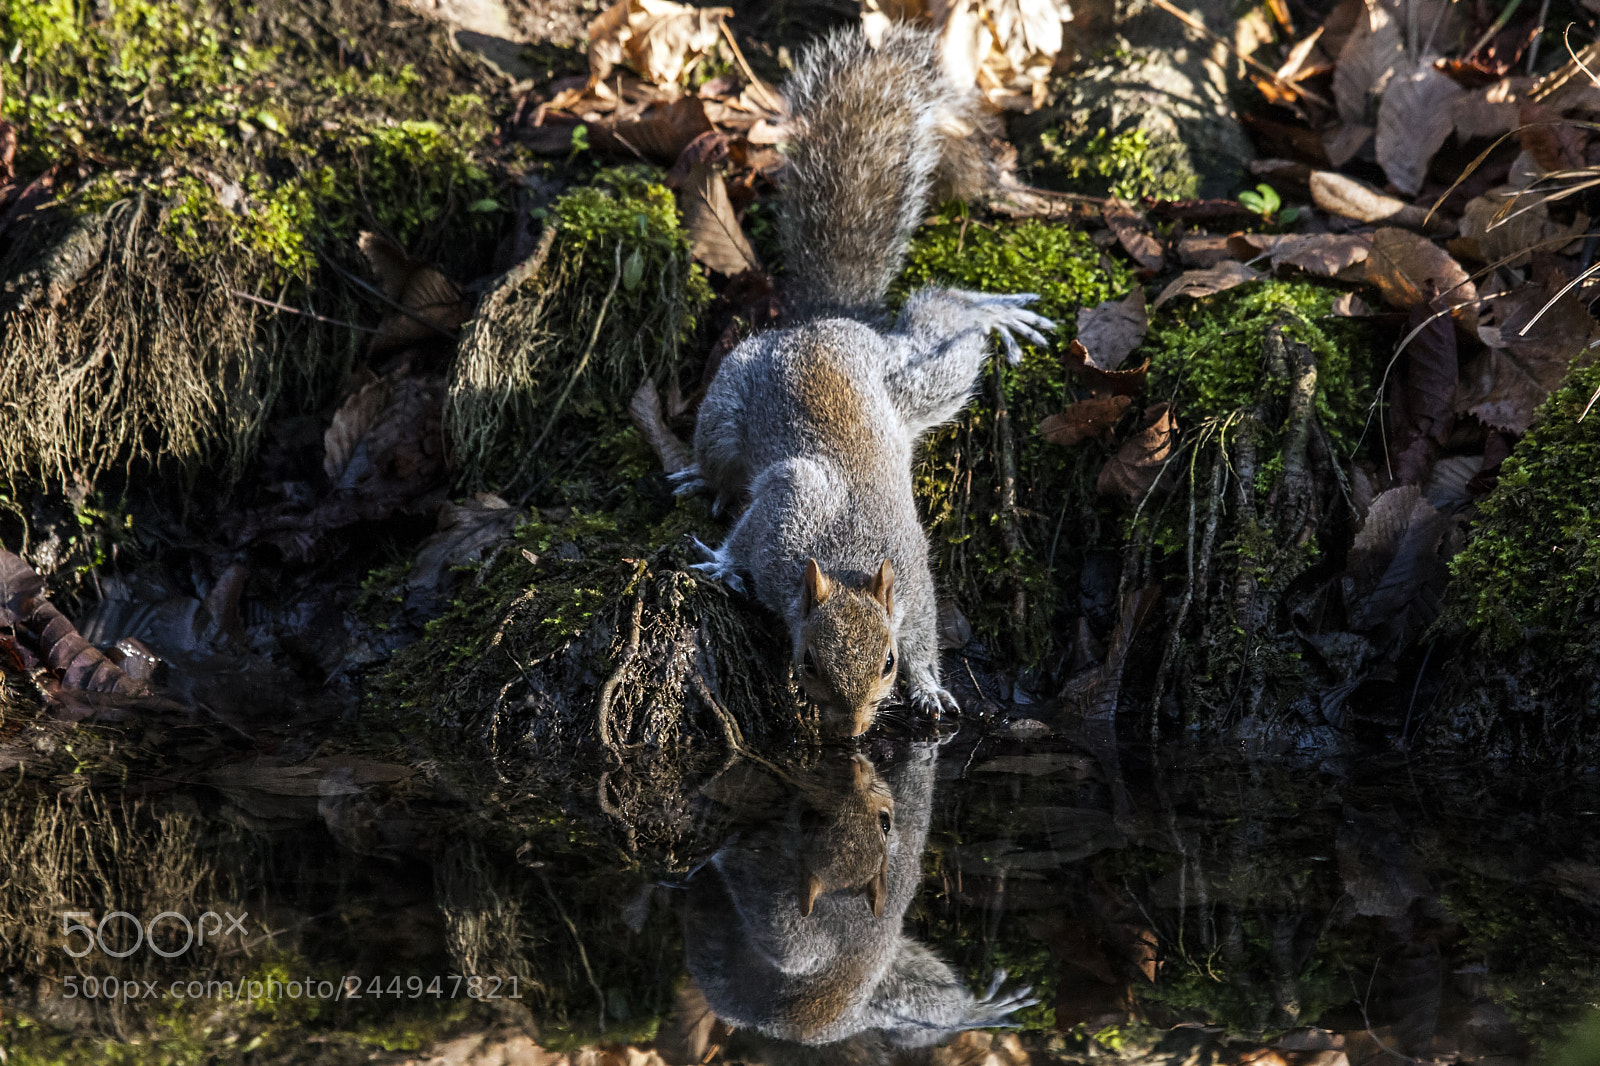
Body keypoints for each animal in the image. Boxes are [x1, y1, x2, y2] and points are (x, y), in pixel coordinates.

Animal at [673, 25, 1054, 736]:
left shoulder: (915, 583)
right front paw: (721, 563)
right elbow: (746, 532)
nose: (850, 733)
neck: (846, 560)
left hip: (914, 383)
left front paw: (929, 686)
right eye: (806, 660)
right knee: (717, 457)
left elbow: (927, 634)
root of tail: (828, 321)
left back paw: (993, 314)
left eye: (887, 664)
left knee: (944, 324)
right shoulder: (784, 506)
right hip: (730, 402)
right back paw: (702, 478)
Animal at [679, 743, 1035, 1053]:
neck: (844, 896)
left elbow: (786, 947)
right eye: (810, 819)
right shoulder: (903, 868)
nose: (853, 764)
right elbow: (917, 810)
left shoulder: (780, 904)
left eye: (884, 821)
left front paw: (719, 844)